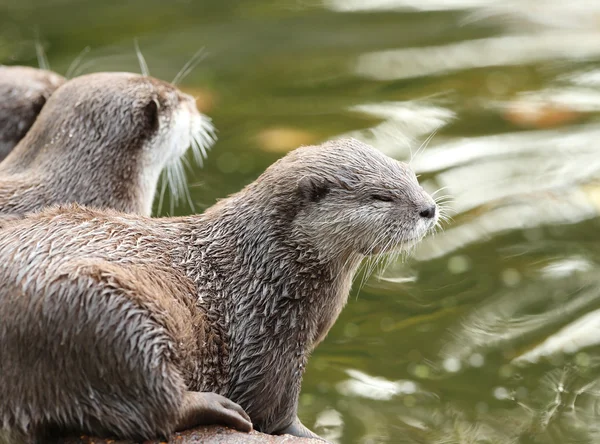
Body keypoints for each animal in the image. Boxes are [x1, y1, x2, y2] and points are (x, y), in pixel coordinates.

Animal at [0, 138, 438, 440]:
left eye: (411, 175)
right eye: (380, 196)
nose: (429, 208)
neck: (266, 268)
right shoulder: (266, 334)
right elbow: (272, 411)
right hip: (106, 311)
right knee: (157, 406)